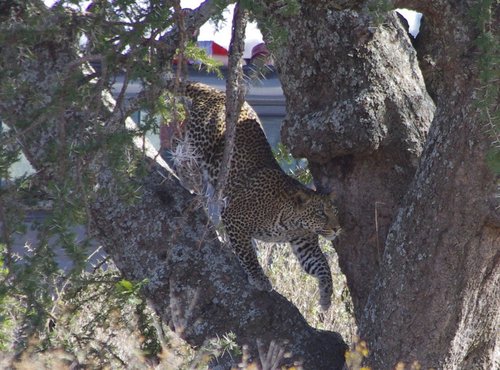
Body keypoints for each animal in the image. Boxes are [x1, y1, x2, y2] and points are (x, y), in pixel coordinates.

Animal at [171, 82, 340, 310]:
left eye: (334, 212)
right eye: (322, 214)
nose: (337, 228)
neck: (291, 222)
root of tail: (215, 91)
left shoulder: (306, 245)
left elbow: (322, 265)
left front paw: (326, 295)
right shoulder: (234, 217)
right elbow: (248, 254)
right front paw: (259, 279)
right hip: (202, 141)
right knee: (182, 151)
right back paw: (186, 178)